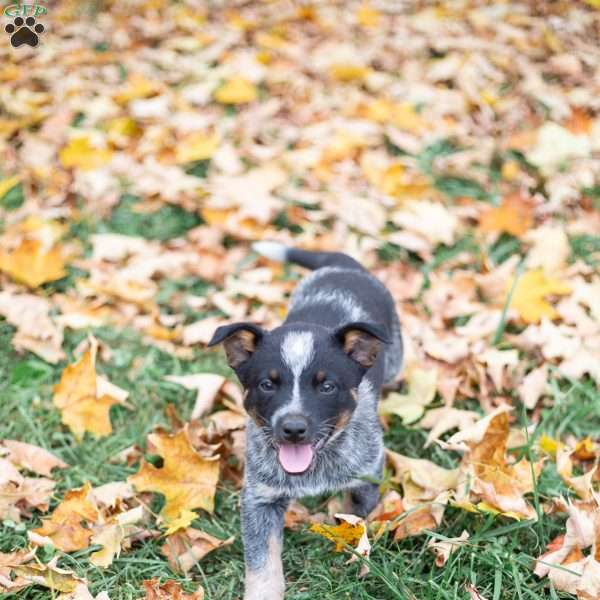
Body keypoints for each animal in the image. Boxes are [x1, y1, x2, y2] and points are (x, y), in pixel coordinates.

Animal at [207, 243, 404, 600]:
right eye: (267, 384)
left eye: (327, 387)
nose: (293, 428)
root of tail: (340, 263)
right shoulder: (260, 498)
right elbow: (262, 560)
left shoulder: (367, 472)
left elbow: (354, 516)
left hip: (396, 354)